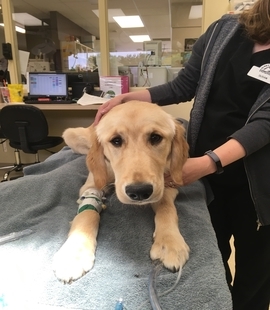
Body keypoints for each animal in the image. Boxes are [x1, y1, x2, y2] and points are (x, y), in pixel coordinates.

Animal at [52, 100, 190, 282]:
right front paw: (74, 254)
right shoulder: (91, 186)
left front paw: (170, 242)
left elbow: (166, 208)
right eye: (116, 141)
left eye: (155, 137)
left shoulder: (168, 182)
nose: (139, 191)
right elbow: (87, 213)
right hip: (70, 134)